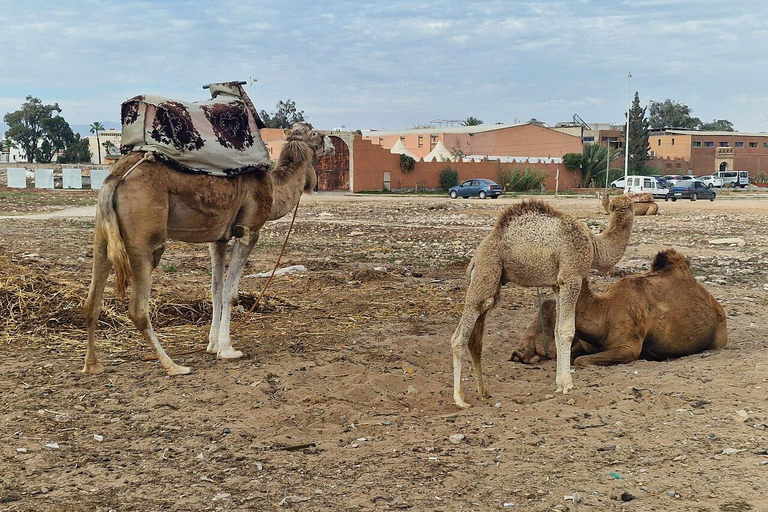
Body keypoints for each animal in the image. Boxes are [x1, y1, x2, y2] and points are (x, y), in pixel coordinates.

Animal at [82, 123, 332, 376]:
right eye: (316, 134)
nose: (331, 144)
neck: (273, 189)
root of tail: (115, 177)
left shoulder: (218, 239)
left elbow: (216, 290)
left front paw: (212, 345)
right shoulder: (249, 232)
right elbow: (231, 293)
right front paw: (227, 349)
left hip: (102, 233)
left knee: (92, 300)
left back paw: (92, 365)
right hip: (144, 239)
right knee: (137, 309)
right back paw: (173, 365)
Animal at [450, 196, 634, 408]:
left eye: (630, 205)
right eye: (616, 206)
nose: (626, 211)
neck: (593, 244)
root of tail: (475, 257)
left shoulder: (557, 284)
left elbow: (557, 331)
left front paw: (559, 384)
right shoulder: (571, 276)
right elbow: (567, 331)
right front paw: (568, 384)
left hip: (493, 282)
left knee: (477, 335)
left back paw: (484, 392)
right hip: (487, 269)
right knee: (459, 336)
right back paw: (459, 399)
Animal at [510, 249, 727, 365]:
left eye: (549, 322)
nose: (517, 353)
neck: (604, 312)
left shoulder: (627, 347)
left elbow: (579, 360)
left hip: (719, 340)